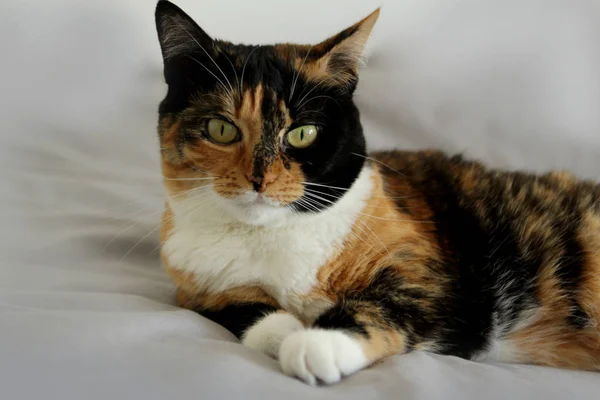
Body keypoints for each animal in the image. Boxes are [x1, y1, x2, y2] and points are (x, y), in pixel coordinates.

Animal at [155, 0, 600, 388]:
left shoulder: (430, 272)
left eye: (303, 133)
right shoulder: (190, 284)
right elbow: (238, 308)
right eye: (221, 129)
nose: (258, 179)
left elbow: (384, 303)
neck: (268, 237)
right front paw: (285, 332)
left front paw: (315, 343)